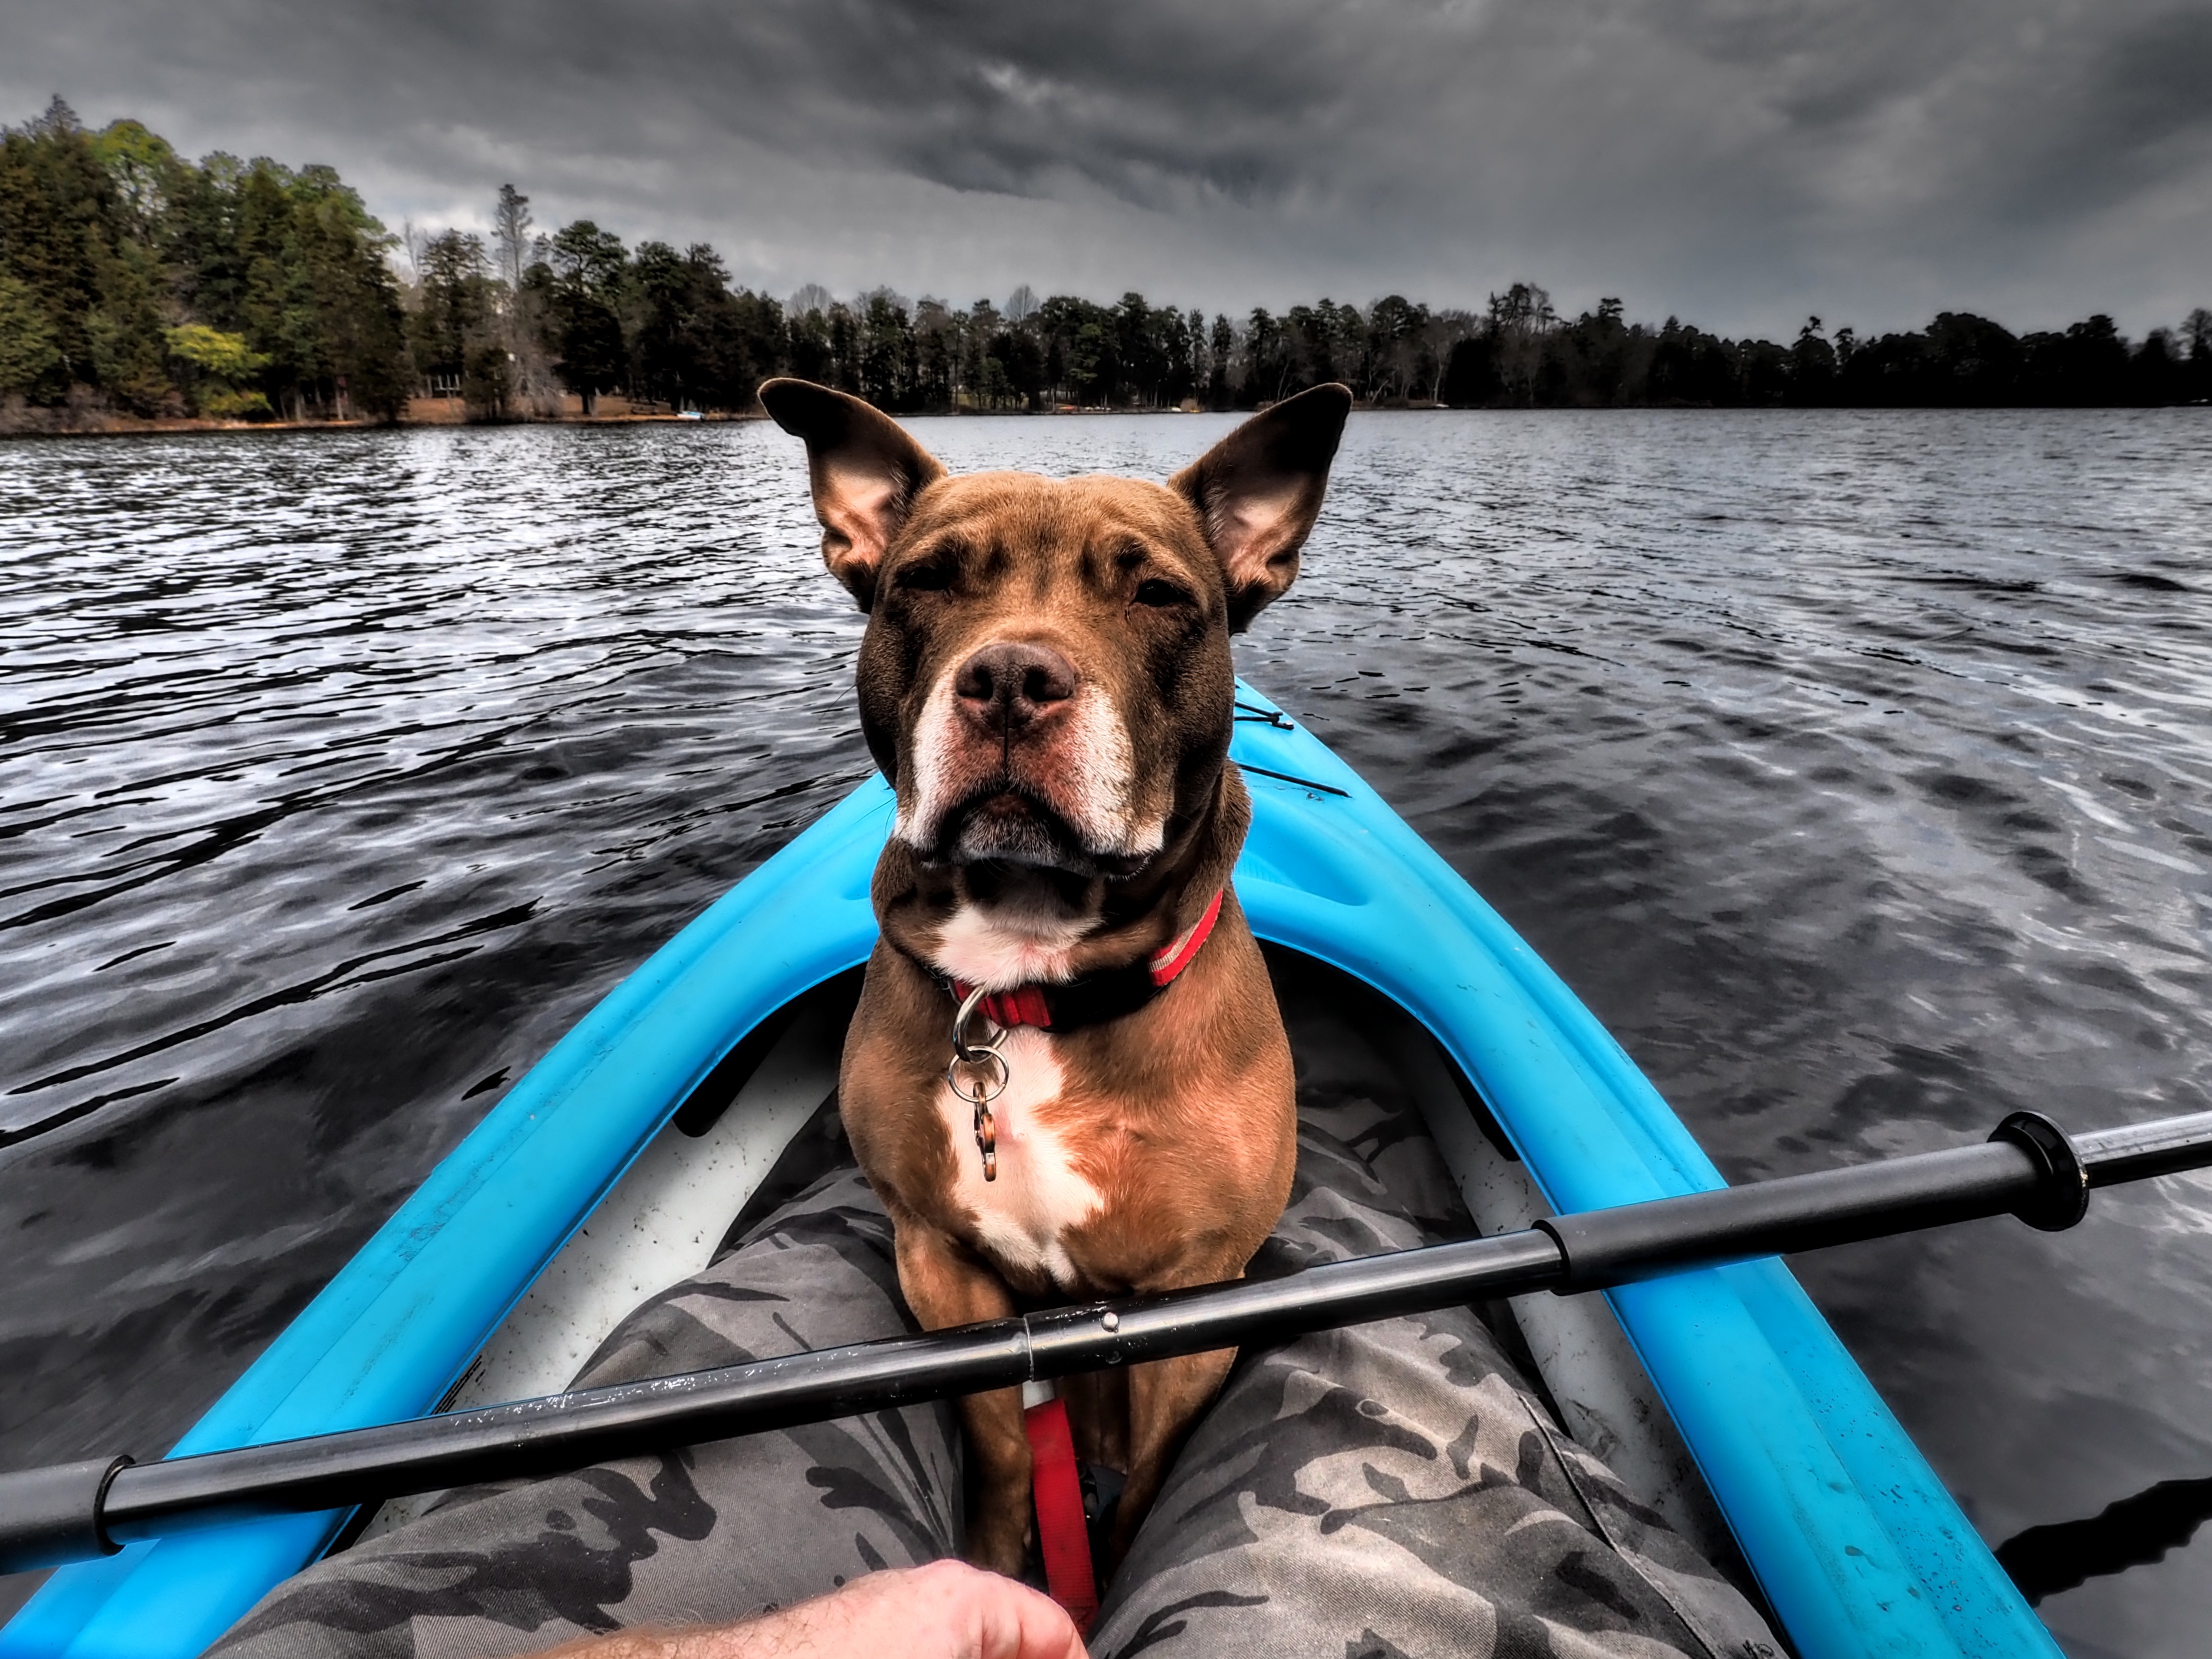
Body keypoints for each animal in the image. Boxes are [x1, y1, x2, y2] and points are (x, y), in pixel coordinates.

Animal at [761, 380, 1344, 1583]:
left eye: (1158, 594)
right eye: (925, 582)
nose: (1011, 680)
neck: (1026, 980)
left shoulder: (1189, 1307)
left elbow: (1144, 1486)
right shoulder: (942, 1267)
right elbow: (998, 1451)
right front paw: (999, 1561)